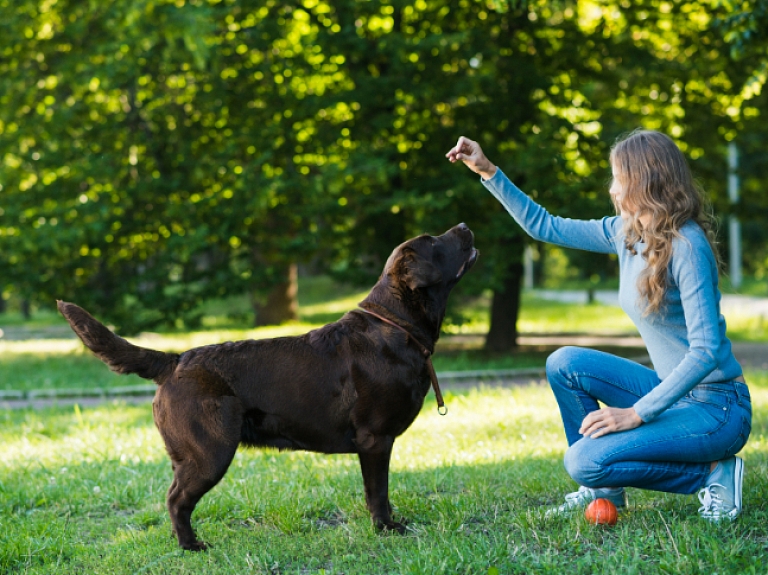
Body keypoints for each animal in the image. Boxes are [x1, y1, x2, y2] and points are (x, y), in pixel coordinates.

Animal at [60, 223, 476, 552]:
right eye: (433, 242)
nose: (464, 225)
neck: (395, 325)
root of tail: (175, 360)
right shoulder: (375, 439)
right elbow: (378, 492)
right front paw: (386, 529)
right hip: (209, 452)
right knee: (176, 500)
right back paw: (192, 545)